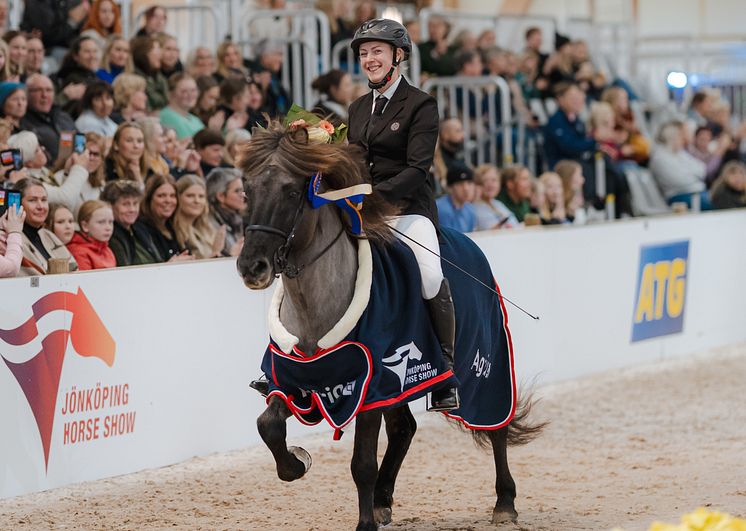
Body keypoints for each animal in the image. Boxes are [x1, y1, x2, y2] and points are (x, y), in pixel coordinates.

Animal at [235, 122, 544, 528]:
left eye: (290, 190)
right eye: (247, 190)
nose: (251, 267)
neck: (313, 308)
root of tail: (472, 246)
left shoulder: (370, 387)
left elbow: (361, 463)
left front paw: (364, 523)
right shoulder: (294, 381)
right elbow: (267, 425)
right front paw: (298, 462)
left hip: (483, 366)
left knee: (497, 424)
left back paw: (505, 501)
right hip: (400, 383)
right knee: (404, 429)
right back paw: (383, 500)